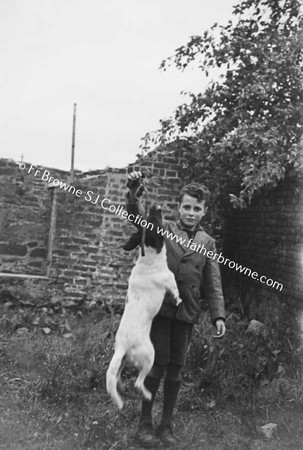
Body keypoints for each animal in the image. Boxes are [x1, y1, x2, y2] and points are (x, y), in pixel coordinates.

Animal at [107, 206, 182, 410]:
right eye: (155, 221)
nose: (156, 206)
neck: (148, 257)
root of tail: (122, 346)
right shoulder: (169, 280)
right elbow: (176, 292)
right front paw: (178, 301)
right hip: (150, 356)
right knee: (138, 383)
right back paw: (147, 394)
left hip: (123, 362)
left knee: (117, 376)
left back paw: (120, 386)